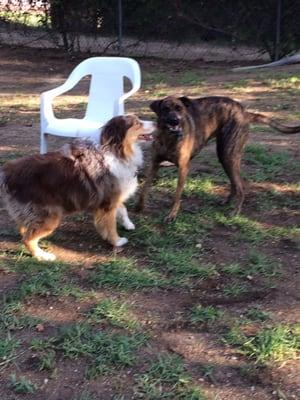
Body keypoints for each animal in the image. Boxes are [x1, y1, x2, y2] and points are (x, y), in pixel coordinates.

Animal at [0, 114, 155, 260]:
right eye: (136, 123)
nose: (155, 122)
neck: (115, 150)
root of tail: (6, 172)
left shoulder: (112, 195)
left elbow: (123, 208)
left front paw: (128, 224)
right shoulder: (107, 202)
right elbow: (110, 226)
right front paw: (116, 241)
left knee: (24, 229)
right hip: (49, 217)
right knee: (28, 239)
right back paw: (43, 256)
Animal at [137, 96, 300, 222]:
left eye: (179, 109)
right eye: (165, 109)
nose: (175, 121)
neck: (168, 137)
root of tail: (245, 112)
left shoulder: (183, 168)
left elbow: (176, 196)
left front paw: (172, 215)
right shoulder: (154, 164)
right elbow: (144, 188)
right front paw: (140, 207)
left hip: (228, 154)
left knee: (240, 186)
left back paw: (235, 212)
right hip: (225, 156)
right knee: (234, 183)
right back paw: (227, 202)